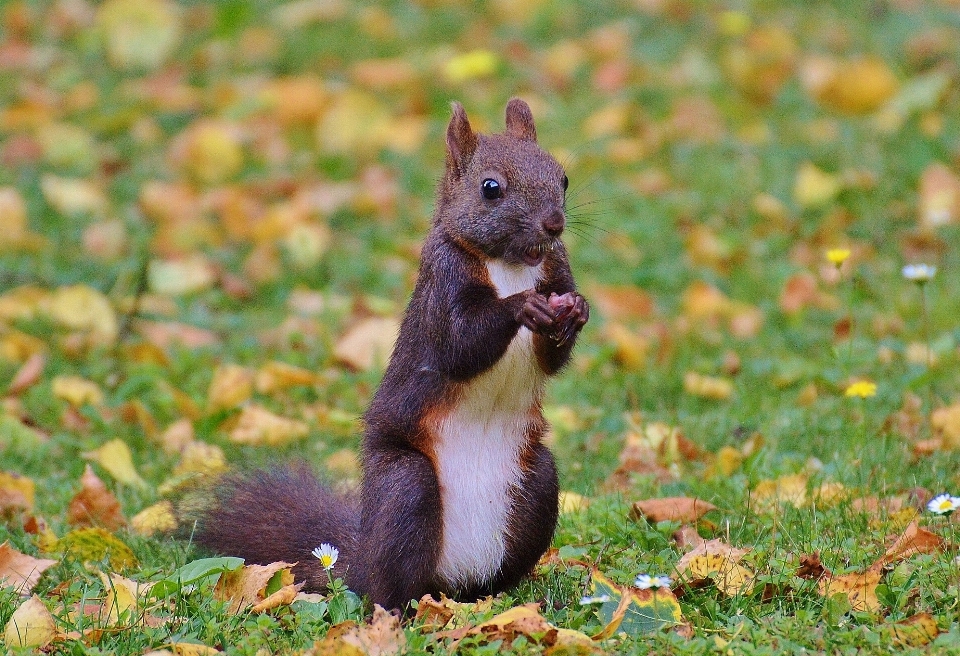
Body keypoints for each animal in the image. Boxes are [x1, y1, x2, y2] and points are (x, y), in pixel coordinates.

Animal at [192, 97, 588, 608]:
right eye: (491, 188)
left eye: (563, 177)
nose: (554, 224)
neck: (512, 264)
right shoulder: (442, 283)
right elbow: (460, 345)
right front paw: (523, 306)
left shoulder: (555, 268)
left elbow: (551, 357)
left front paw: (575, 311)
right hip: (406, 488)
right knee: (390, 584)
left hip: (537, 483)